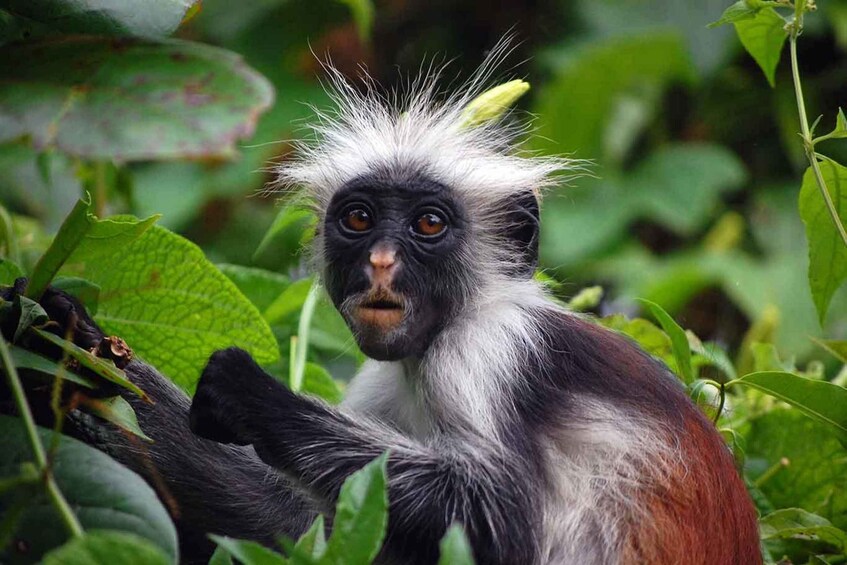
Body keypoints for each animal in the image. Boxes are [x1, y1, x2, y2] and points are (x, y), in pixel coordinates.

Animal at [6, 46, 761, 565]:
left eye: (428, 224)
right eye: (359, 219)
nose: (379, 262)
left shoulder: (493, 349)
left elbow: (500, 518)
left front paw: (250, 394)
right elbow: (296, 525)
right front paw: (62, 348)